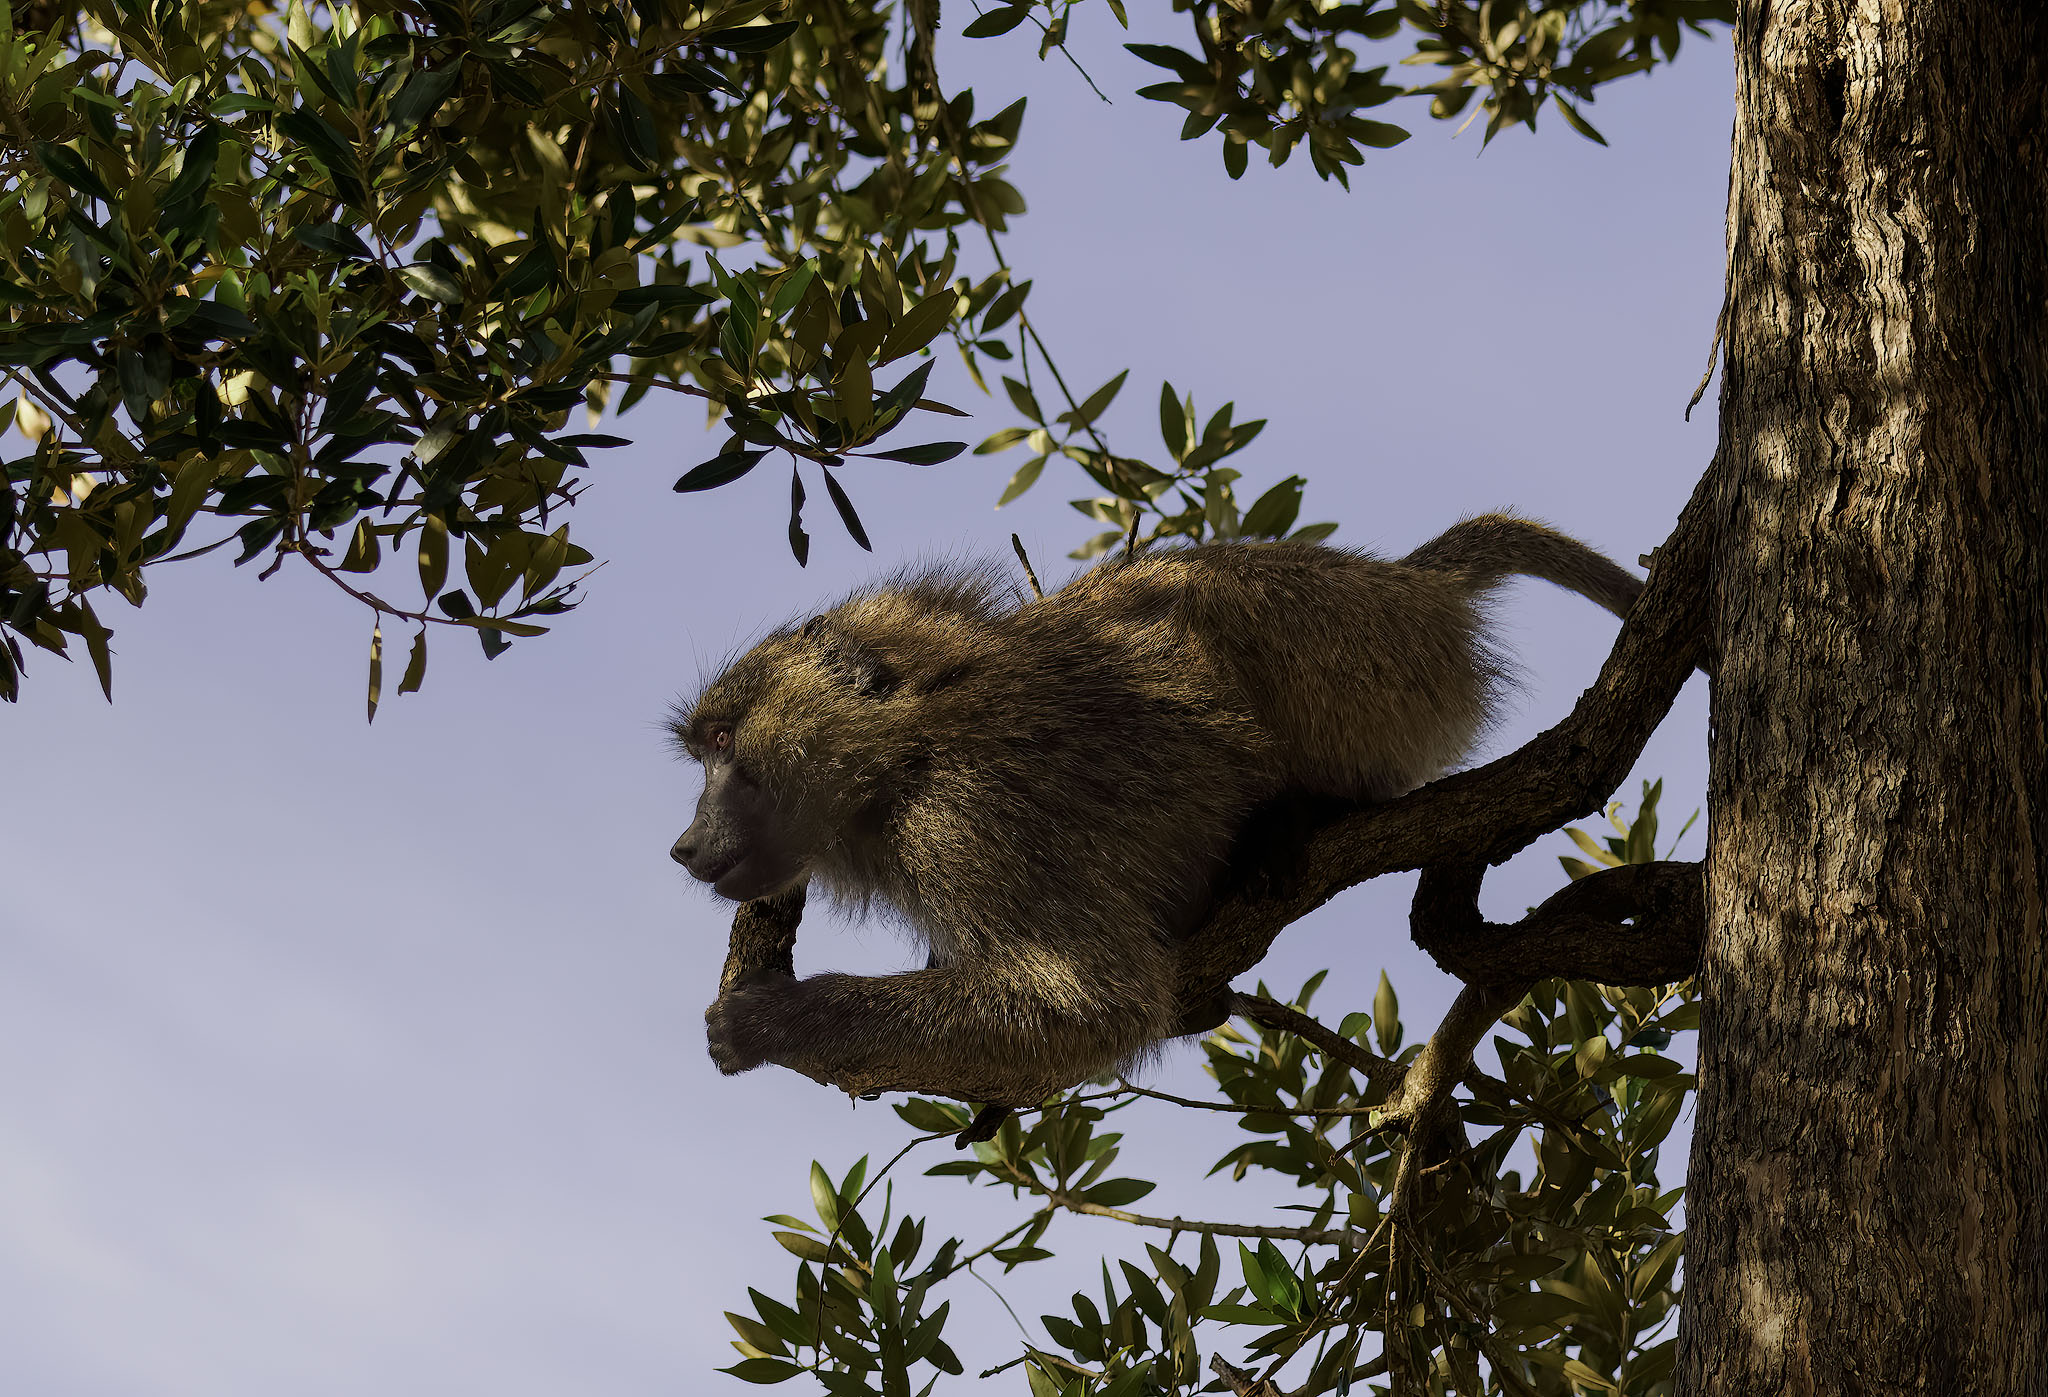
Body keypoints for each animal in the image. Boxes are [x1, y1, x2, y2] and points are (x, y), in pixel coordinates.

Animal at [672, 514, 1642, 1106]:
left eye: (723, 740)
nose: (684, 844)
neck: (902, 747)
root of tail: (1410, 585)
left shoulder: (964, 821)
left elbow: (1087, 1004)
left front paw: (766, 1020)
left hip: (1366, 648)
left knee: (1194, 600)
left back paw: (1288, 818)